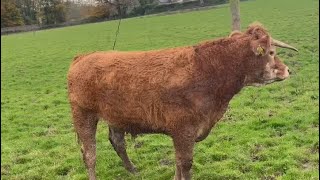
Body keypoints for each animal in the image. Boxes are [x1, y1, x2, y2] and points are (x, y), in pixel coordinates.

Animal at [67, 22, 298, 180]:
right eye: (271, 52)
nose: (288, 70)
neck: (207, 69)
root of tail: (83, 57)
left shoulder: (184, 132)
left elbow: (178, 163)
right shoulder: (183, 130)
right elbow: (185, 163)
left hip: (116, 116)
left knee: (117, 142)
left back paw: (132, 170)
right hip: (83, 115)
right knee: (89, 153)